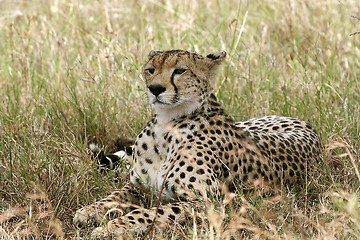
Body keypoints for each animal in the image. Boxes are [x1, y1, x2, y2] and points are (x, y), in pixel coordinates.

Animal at [74, 49, 322, 239]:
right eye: (151, 69)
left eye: (180, 70)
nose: (155, 88)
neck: (166, 125)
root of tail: (306, 124)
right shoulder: (139, 186)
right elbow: (115, 195)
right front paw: (90, 210)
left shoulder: (207, 203)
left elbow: (150, 213)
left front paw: (111, 228)